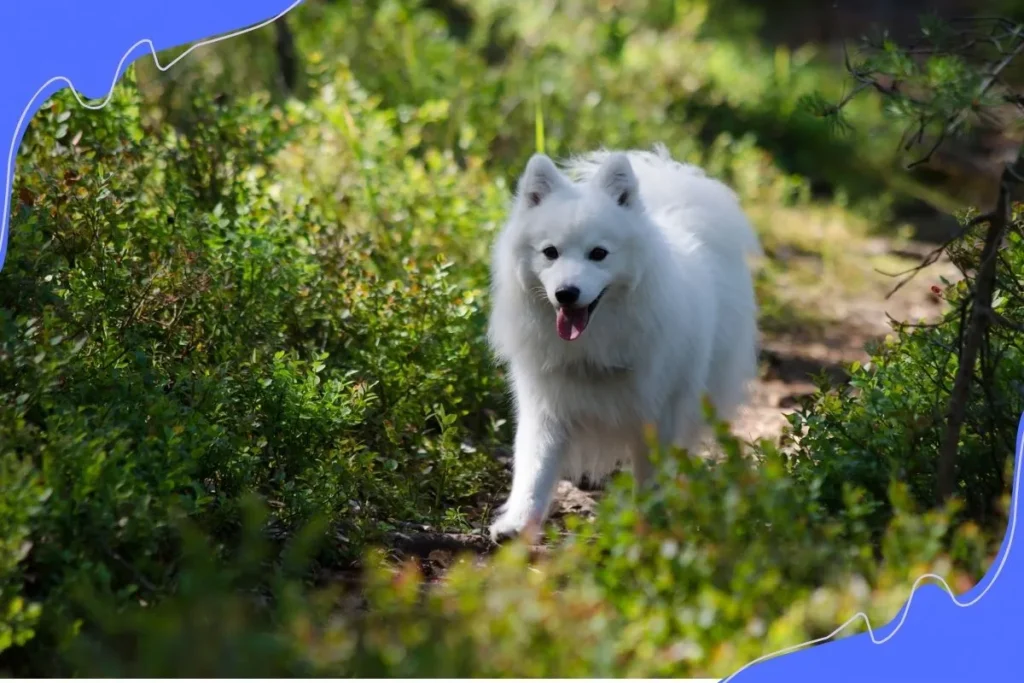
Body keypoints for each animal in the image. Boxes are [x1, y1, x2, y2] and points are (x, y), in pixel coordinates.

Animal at [485, 144, 761, 540]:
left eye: (598, 253)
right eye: (550, 252)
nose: (566, 293)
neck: (596, 342)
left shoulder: (659, 413)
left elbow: (652, 477)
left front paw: (651, 525)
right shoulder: (547, 406)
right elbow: (534, 468)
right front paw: (518, 524)